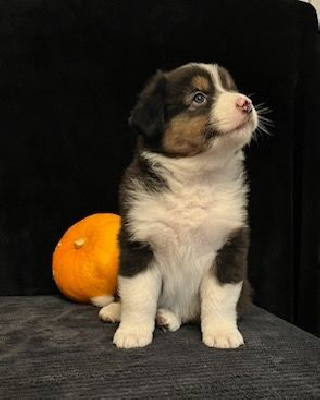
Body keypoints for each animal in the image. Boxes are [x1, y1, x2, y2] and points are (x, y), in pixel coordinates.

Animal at [100, 61, 260, 346]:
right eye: (199, 97)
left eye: (231, 88)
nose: (246, 103)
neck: (195, 177)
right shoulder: (139, 241)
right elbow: (137, 294)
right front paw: (132, 332)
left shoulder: (230, 243)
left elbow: (221, 296)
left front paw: (222, 333)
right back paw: (117, 310)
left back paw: (166, 317)